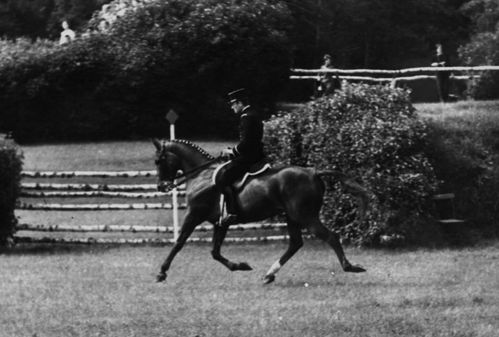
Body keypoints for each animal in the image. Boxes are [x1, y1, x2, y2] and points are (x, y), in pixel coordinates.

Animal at [154, 138, 370, 282]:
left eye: (158, 161)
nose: (161, 187)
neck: (201, 175)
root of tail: (313, 172)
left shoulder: (194, 214)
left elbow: (179, 243)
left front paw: (162, 272)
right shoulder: (220, 223)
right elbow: (215, 252)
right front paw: (240, 266)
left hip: (306, 216)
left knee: (330, 237)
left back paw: (350, 267)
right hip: (293, 216)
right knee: (295, 243)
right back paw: (269, 274)